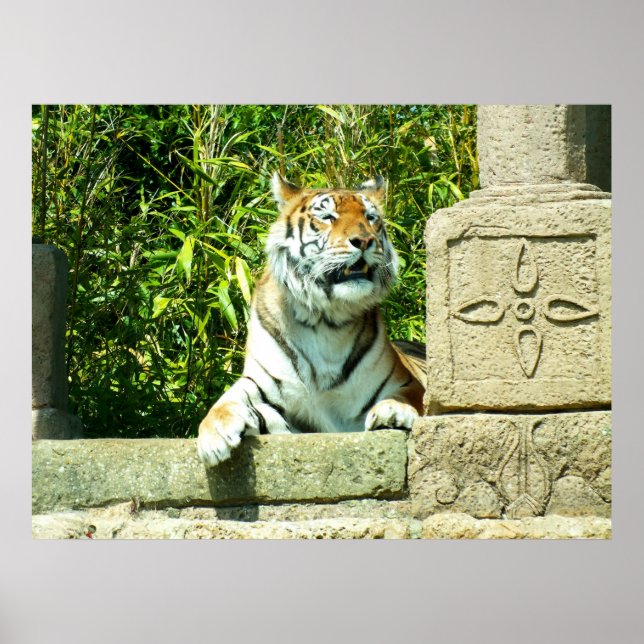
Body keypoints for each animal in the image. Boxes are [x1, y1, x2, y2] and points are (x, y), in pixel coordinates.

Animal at [197, 172, 426, 466]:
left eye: (370, 217)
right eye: (328, 216)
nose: (364, 240)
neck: (326, 320)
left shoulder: (406, 383)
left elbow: (407, 398)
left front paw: (392, 411)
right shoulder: (263, 386)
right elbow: (228, 400)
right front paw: (213, 435)